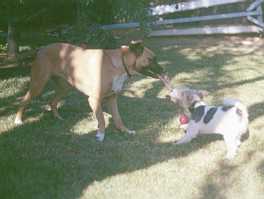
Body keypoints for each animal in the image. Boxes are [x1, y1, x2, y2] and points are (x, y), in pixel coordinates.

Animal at [14, 40, 165, 141]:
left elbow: (118, 118)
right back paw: (18, 120)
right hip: (38, 84)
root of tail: (41, 49)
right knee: (24, 100)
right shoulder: (94, 99)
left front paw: (125, 131)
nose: (164, 70)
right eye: (152, 59)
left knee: (52, 102)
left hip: (65, 88)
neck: (119, 64)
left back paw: (57, 117)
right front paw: (101, 135)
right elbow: (102, 119)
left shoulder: (112, 98)